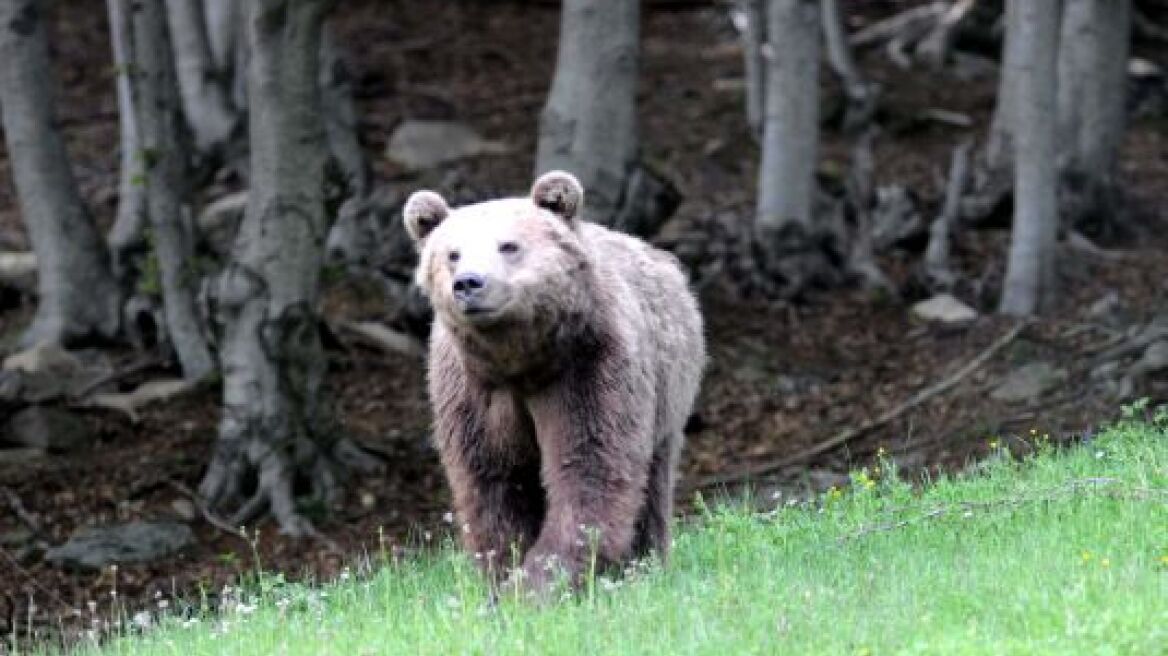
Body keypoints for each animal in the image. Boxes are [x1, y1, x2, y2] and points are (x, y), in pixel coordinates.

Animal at [406, 169, 700, 592]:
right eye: (452, 254)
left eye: (508, 245)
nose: (469, 283)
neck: (522, 361)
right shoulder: (474, 390)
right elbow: (494, 481)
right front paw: (505, 573)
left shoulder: (587, 368)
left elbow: (589, 465)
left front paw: (540, 582)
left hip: (667, 392)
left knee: (654, 481)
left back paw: (646, 564)